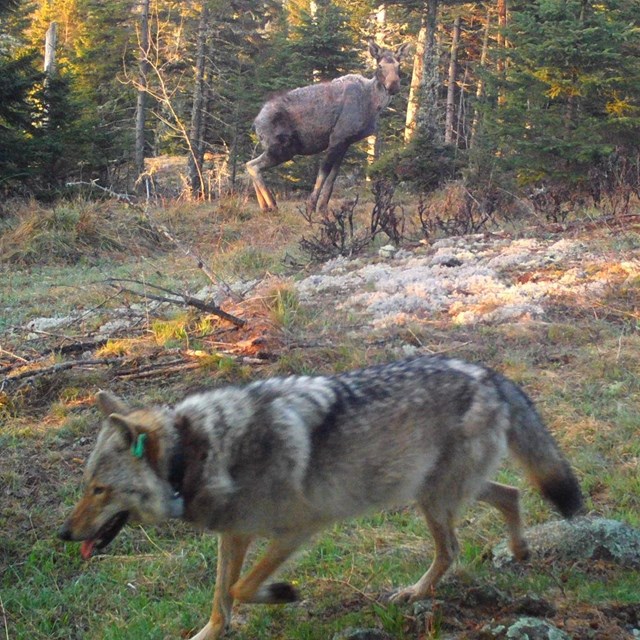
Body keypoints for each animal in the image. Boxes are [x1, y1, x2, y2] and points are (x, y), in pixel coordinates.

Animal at [59, 355, 583, 640]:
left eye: (100, 490)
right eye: (85, 486)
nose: (63, 534)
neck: (196, 452)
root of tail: (489, 373)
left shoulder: (299, 529)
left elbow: (240, 588)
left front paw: (283, 593)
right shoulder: (235, 534)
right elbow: (220, 597)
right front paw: (209, 632)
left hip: (431, 499)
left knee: (453, 547)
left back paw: (415, 592)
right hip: (436, 492)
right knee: (510, 495)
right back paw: (519, 551)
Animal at [247, 41, 410, 213]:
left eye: (399, 65)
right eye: (380, 65)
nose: (393, 85)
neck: (373, 104)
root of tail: (255, 122)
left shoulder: (345, 142)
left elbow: (333, 176)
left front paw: (323, 207)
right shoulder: (337, 137)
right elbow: (323, 172)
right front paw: (311, 206)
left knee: (250, 165)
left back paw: (265, 206)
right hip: (284, 148)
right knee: (253, 166)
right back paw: (272, 204)